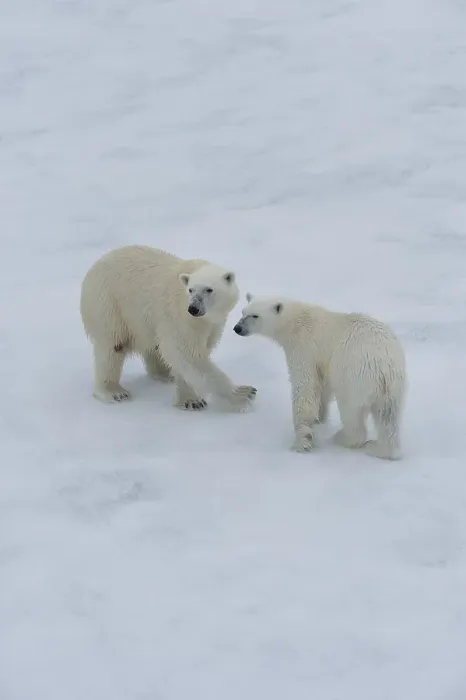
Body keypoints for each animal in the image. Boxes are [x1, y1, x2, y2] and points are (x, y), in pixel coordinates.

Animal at [80, 245, 257, 411]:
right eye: (190, 290)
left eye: (209, 289)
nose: (193, 308)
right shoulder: (178, 314)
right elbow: (185, 352)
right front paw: (243, 393)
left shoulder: (212, 324)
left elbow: (190, 354)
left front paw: (189, 399)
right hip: (109, 304)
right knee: (113, 346)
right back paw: (114, 391)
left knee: (153, 346)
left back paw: (164, 373)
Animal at [233, 294, 406, 459]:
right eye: (243, 312)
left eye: (255, 315)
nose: (237, 328)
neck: (295, 322)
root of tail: (384, 366)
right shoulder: (324, 361)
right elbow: (323, 385)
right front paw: (319, 417)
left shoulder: (304, 347)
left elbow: (305, 385)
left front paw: (302, 439)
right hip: (393, 386)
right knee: (388, 416)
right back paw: (383, 450)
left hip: (353, 376)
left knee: (351, 411)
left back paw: (342, 438)